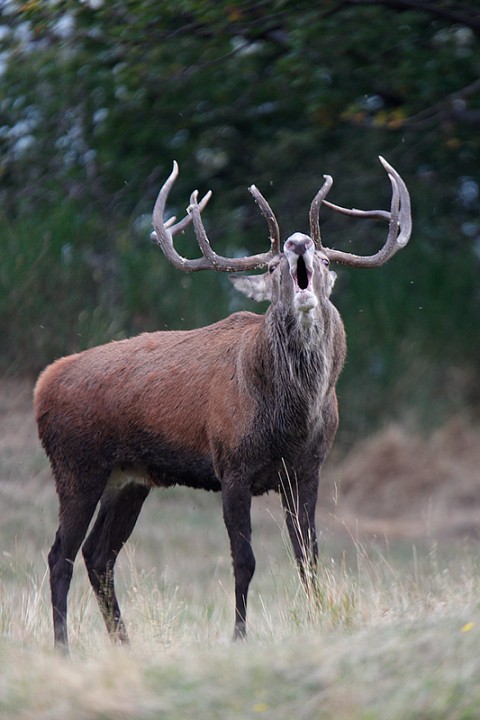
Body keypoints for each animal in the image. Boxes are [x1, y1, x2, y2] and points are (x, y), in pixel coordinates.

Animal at [33, 156, 410, 648]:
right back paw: (63, 647)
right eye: (272, 267)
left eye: (326, 259)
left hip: (128, 478)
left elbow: (308, 555)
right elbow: (244, 560)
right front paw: (239, 636)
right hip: (77, 463)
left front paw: (320, 619)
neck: (290, 421)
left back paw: (123, 644)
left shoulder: (307, 470)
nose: (298, 242)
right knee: (60, 554)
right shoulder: (232, 463)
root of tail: (43, 384)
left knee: (98, 556)